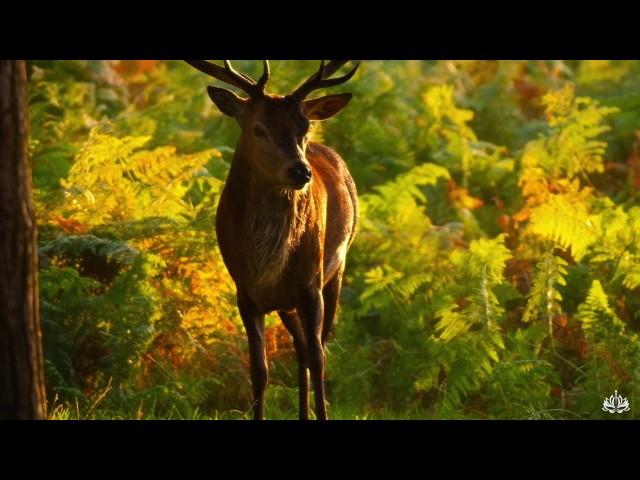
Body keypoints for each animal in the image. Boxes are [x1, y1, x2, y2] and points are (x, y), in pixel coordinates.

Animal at [186, 60, 360, 420]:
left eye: (304, 128)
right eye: (258, 129)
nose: (301, 171)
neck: (267, 265)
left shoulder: (310, 284)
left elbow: (320, 359)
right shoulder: (246, 293)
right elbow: (259, 370)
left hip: (336, 270)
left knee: (314, 348)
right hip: (286, 304)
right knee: (300, 347)